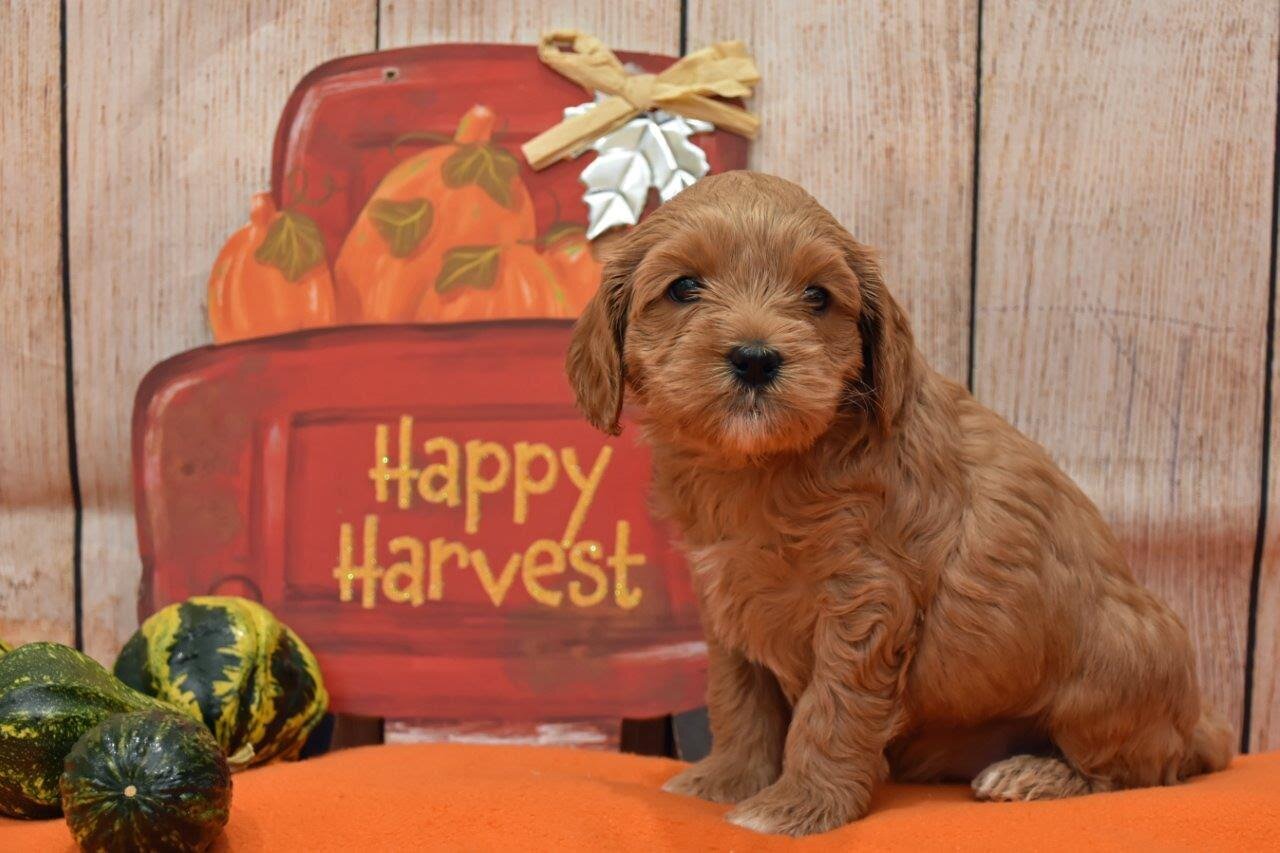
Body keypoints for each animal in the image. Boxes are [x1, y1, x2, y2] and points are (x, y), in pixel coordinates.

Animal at [565, 169, 1233, 835]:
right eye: (683, 288)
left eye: (817, 297)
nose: (755, 359)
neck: (759, 467)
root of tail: (1199, 723)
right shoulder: (728, 595)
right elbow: (739, 697)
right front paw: (727, 779)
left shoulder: (865, 598)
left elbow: (830, 711)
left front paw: (798, 806)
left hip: (1116, 663)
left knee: (1138, 767)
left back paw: (1034, 774)